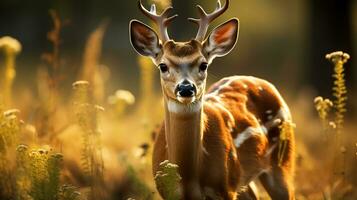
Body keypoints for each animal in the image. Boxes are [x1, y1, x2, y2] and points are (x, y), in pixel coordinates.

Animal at [129, 0, 294, 198]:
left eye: (203, 64)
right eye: (163, 66)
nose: (186, 88)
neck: (188, 178)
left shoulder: (226, 188)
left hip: (283, 160)